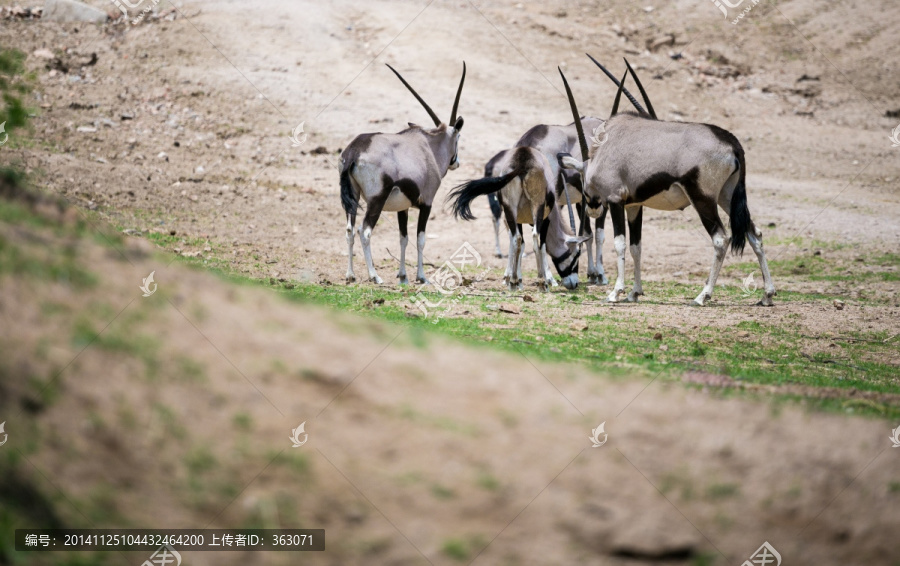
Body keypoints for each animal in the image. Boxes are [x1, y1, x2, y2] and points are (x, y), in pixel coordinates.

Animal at [340, 63, 472, 286]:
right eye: (459, 137)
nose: (456, 162)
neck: (428, 147)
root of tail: (354, 151)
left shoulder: (403, 208)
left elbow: (403, 238)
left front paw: (403, 277)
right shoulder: (427, 203)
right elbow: (420, 239)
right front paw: (421, 277)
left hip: (353, 197)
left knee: (349, 230)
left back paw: (350, 275)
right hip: (376, 200)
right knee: (364, 231)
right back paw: (374, 276)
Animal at [556, 61, 772, 306]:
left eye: (583, 178)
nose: (592, 209)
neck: (603, 150)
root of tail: (732, 142)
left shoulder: (616, 201)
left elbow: (620, 243)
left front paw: (615, 292)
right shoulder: (634, 206)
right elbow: (636, 246)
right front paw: (634, 292)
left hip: (703, 199)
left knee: (720, 239)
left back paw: (702, 295)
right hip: (727, 197)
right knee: (755, 234)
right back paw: (767, 294)